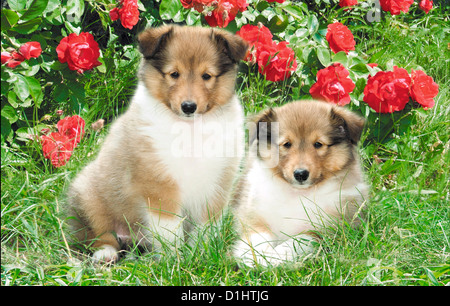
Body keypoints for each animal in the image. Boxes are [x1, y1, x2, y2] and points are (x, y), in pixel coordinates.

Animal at [67, 25, 248, 262]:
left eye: (207, 76)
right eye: (174, 74)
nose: (188, 106)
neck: (189, 129)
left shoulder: (217, 186)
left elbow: (205, 228)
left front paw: (201, 255)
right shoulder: (159, 186)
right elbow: (169, 230)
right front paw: (174, 260)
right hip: (89, 196)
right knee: (98, 234)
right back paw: (105, 254)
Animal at [232, 101, 370, 268]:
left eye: (318, 144)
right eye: (287, 144)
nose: (300, 174)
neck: (297, 194)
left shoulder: (325, 229)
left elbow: (296, 242)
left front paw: (274, 258)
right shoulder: (254, 217)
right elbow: (257, 238)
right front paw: (254, 258)